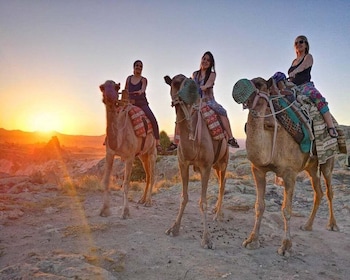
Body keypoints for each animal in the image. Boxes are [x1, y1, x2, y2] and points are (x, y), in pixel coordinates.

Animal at [98, 79, 157, 219]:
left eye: (116, 87)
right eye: (102, 87)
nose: (110, 97)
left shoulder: (129, 157)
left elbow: (126, 183)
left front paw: (125, 212)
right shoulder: (110, 153)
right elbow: (106, 180)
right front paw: (104, 210)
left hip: (152, 151)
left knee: (152, 175)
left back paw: (148, 201)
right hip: (142, 155)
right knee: (147, 174)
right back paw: (142, 199)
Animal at [165, 74, 230, 249]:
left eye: (190, 80)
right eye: (175, 82)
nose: (193, 91)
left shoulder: (205, 166)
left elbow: (203, 202)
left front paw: (207, 239)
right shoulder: (183, 163)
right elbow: (184, 197)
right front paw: (174, 228)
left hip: (223, 161)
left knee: (222, 184)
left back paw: (218, 214)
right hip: (215, 166)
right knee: (221, 182)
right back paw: (217, 211)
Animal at [232, 77, 340, 258]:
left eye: (259, 84)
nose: (239, 88)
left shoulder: (290, 174)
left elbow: (286, 210)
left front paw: (286, 246)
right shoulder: (258, 169)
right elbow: (259, 206)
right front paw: (252, 240)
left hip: (328, 160)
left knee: (329, 190)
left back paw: (332, 225)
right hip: (311, 167)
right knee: (318, 191)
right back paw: (307, 225)